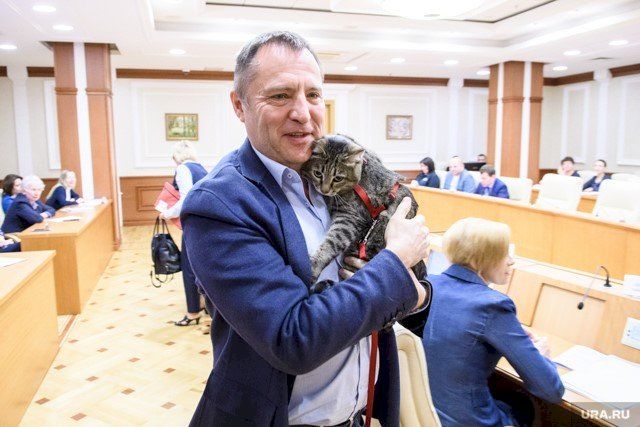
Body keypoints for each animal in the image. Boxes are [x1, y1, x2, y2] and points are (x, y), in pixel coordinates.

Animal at [300, 134, 427, 293]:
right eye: (318, 174)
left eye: (338, 178)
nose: (324, 190)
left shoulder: (350, 217)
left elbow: (332, 242)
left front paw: (314, 265)